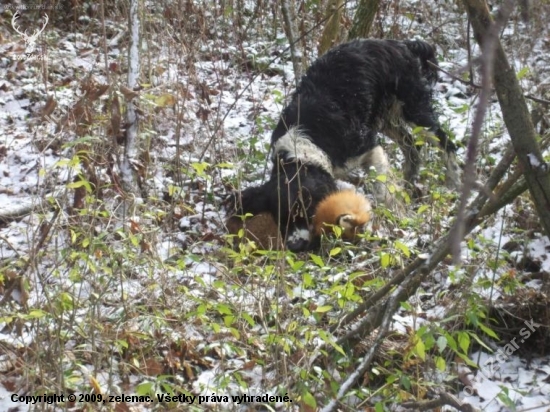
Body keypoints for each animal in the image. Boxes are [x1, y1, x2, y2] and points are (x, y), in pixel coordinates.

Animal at [229, 39, 462, 251]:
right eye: (281, 217)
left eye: (307, 211)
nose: (296, 246)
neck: (304, 145)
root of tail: (401, 43)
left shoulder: (367, 146)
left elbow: (382, 188)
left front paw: (398, 216)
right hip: (386, 118)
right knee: (411, 145)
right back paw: (410, 182)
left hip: (414, 110)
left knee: (445, 143)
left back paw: (453, 183)